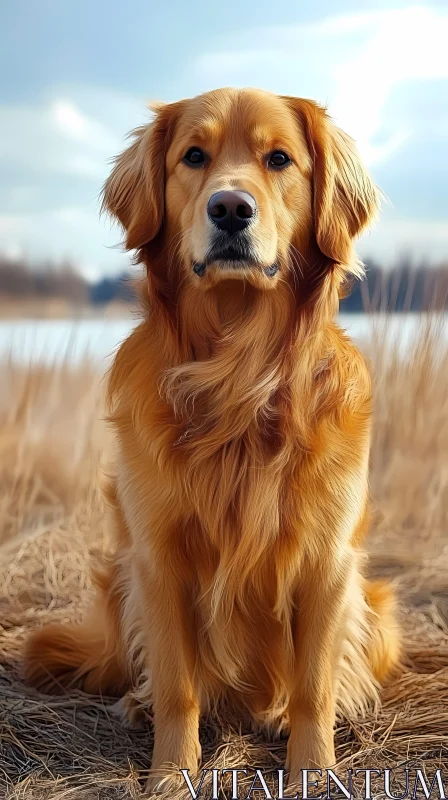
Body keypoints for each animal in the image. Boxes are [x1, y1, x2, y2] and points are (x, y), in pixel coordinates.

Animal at [22, 89, 400, 792]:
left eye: (279, 159)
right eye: (193, 157)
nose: (229, 208)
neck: (237, 377)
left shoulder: (330, 564)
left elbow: (314, 687)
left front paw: (312, 772)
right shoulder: (158, 558)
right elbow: (179, 685)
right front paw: (172, 775)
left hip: (375, 605)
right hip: (121, 578)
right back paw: (139, 704)